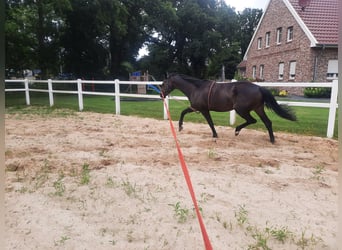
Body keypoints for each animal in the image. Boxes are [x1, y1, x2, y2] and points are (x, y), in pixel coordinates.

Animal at [160, 73, 296, 143]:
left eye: (164, 83)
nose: (161, 95)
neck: (196, 88)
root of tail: (259, 88)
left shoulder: (202, 109)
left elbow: (209, 122)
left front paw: (215, 135)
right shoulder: (195, 108)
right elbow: (184, 113)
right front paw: (180, 127)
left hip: (241, 110)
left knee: (252, 120)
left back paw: (237, 130)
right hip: (258, 109)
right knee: (267, 122)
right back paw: (272, 139)